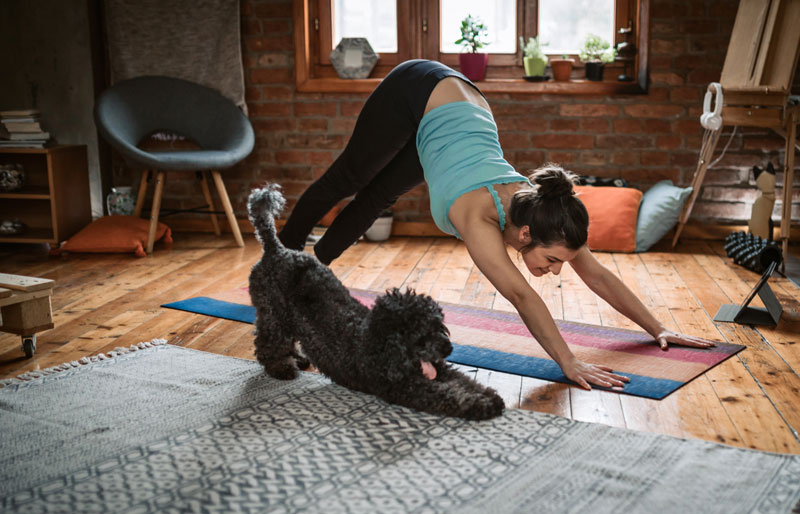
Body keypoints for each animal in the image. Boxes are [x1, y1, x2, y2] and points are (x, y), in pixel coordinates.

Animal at [247, 182, 504, 418]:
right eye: (421, 334)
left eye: (439, 326)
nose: (448, 348)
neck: (378, 343)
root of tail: (275, 249)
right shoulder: (407, 387)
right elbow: (448, 395)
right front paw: (481, 405)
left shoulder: (439, 369)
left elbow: (463, 380)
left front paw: (488, 395)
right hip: (272, 314)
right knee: (267, 344)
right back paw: (282, 368)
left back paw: (298, 358)